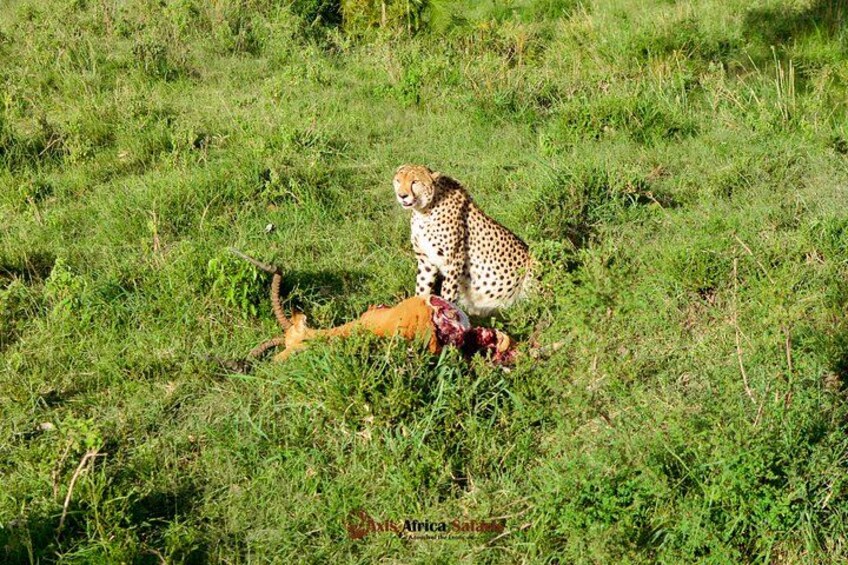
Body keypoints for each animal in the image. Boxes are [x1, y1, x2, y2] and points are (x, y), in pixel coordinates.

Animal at [393, 164, 533, 317]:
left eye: (415, 182)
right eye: (398, 181)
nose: (402, 195)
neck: (424, 211)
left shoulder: (454, 261)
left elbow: (447, 293)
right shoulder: (426, 261)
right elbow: (422, 289)